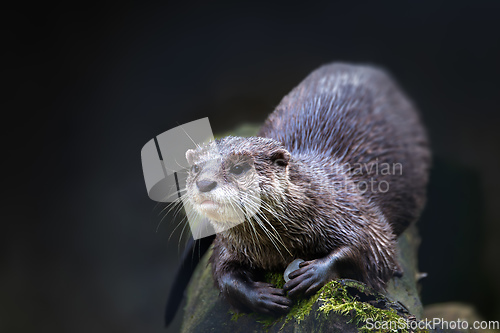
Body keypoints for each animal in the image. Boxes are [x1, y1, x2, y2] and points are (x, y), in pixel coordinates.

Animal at [177, 64, 430, 316]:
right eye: (196, 167)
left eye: (238, 168)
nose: (204, 183)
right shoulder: (228, 244)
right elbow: (223, 273)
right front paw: (262, 296)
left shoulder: (352, 209)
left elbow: (373, 247)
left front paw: (314, 272)